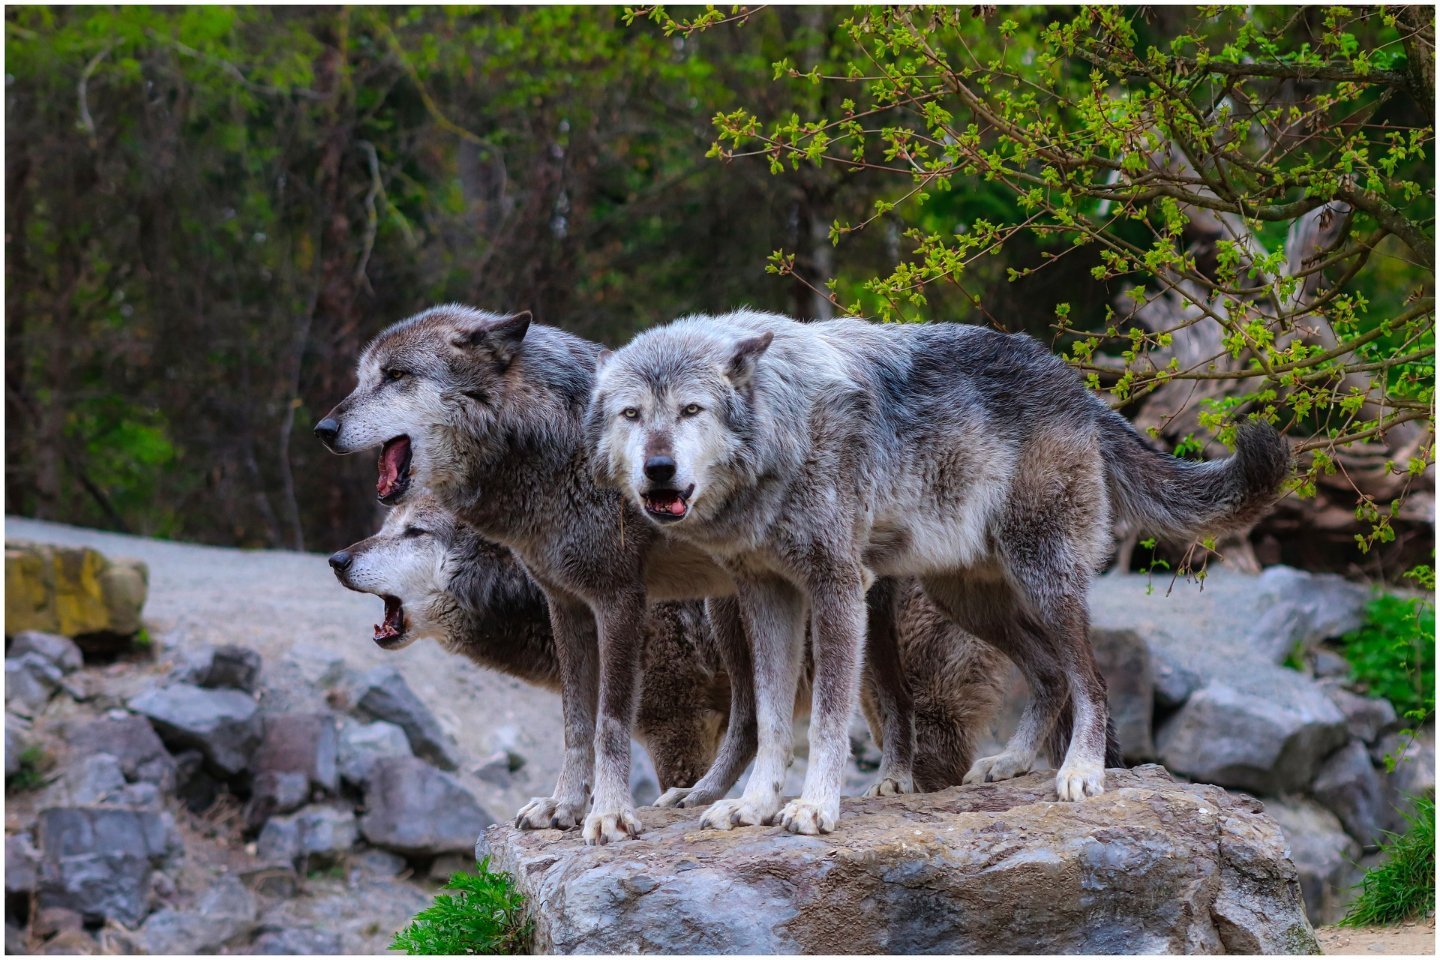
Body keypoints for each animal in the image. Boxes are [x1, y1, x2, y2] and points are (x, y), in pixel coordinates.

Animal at [315, 303, 915, 846]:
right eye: (363, 378)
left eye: (396, 377)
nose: (322, 427)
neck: (553, 447)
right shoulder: (568, 605)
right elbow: (577, 723)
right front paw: (562, 806)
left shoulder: (630, 622)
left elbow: (608, 726)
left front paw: (608, 815)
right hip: (734, 609)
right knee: (754, 718)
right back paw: (703, 797)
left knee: (892, 695)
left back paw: (893, 781)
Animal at [590, 309, 1290, 834]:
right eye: (632, 414)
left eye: (691, 410)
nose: (657, 469)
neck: (785, 425)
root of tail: (1079, 389)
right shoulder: (768, 595)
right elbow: (770, 720)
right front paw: (755, 805)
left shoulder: (837, 588)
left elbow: (825, 721)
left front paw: (815, 807)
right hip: (968, 601)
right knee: (1050, 675)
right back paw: (1011, 762)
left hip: (1044, 581)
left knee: (1089, 681)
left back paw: (1081, 772)